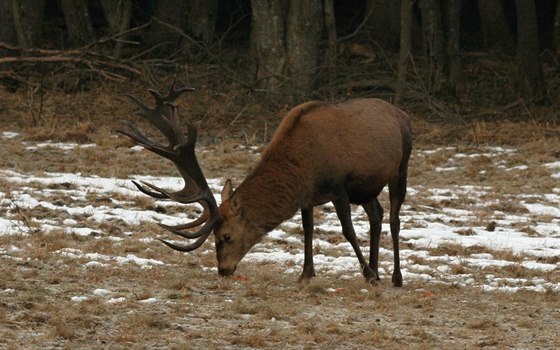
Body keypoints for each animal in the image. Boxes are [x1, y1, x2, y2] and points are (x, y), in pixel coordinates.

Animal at [118, 85, 414, 288]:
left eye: (226, 236)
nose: (223, 270)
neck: (305, 166)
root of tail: (402, 114)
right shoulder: (308, 196)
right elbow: (308, 230)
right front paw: (306, 274)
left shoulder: (339, 186)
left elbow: (348, 232)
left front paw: (368, 275)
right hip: (366, 188)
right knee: (376, 214)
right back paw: (378, 270)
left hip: (400, 167)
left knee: (394, 219)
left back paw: (394, 276)